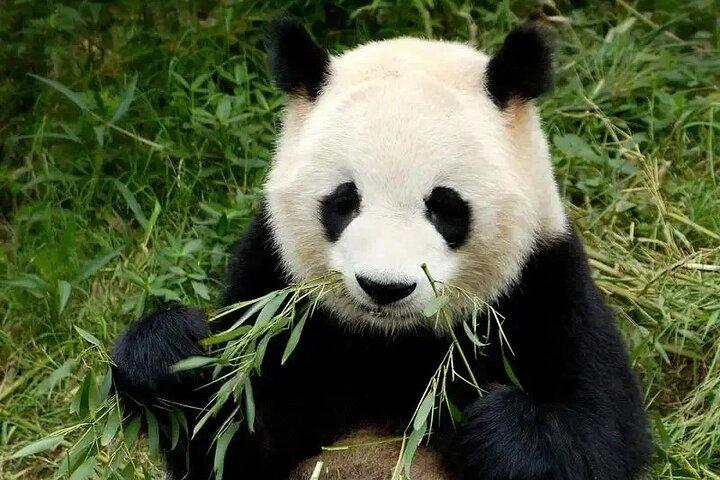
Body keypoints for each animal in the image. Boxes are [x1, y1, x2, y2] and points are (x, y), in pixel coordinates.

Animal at [112, 17, 652, 480]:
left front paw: (490, 429)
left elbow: (598, 429)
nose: (385, 287)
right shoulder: (279, 289)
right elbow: (232, 433)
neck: (392, 341)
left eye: (445, 207)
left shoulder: (544, 285)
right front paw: (170, 355)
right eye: (344, 200)